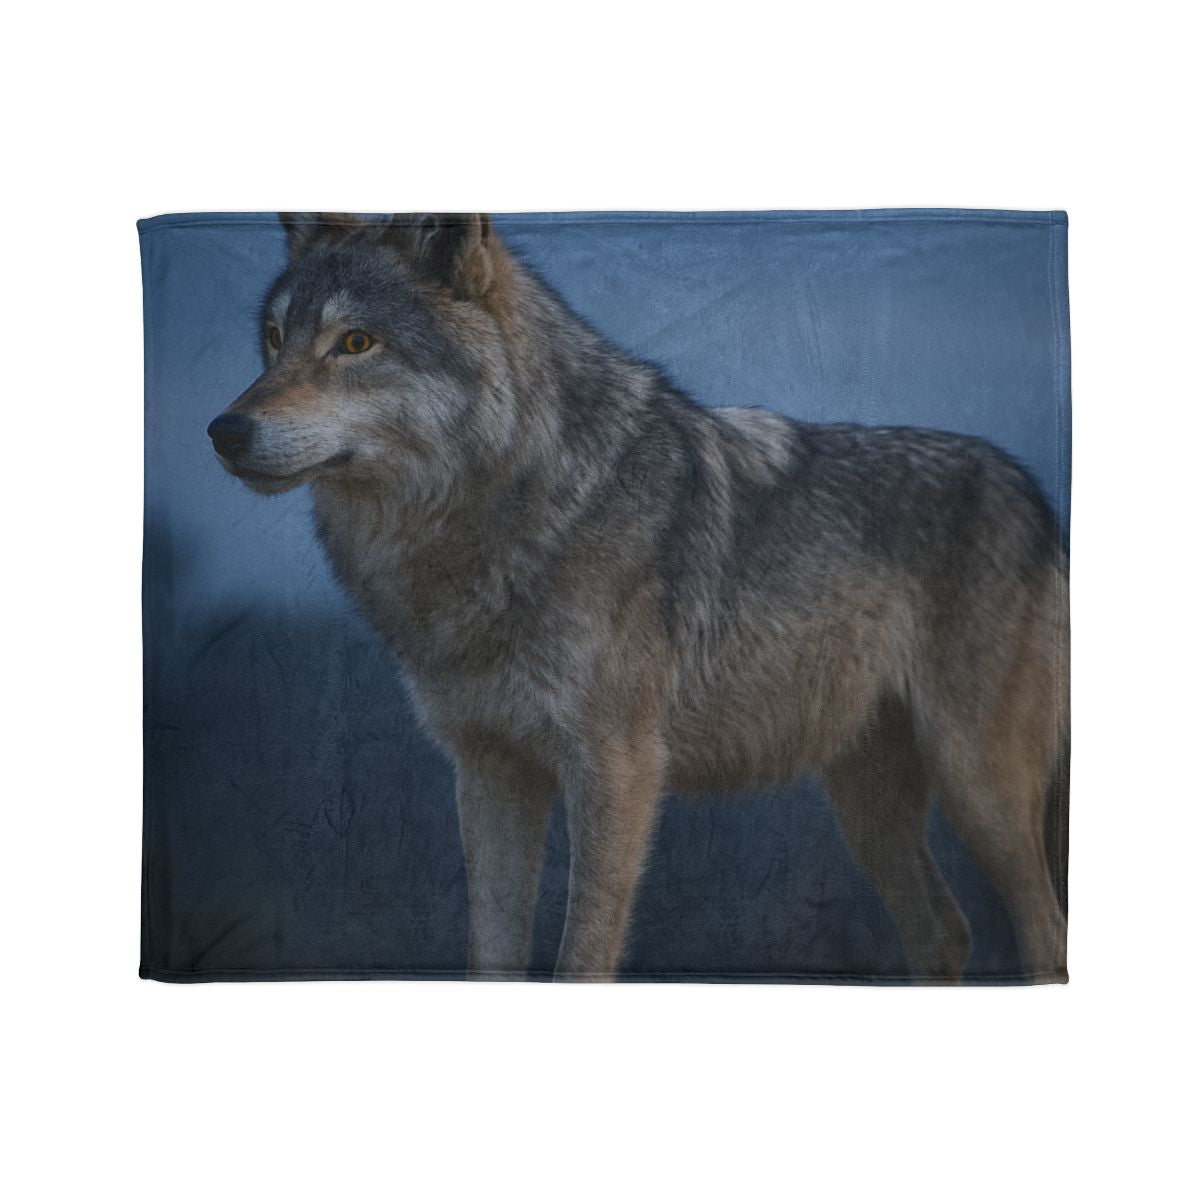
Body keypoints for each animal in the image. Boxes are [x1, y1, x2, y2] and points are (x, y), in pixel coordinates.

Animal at [207, 212, 1069, 983]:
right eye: (275, 339)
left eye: (356, 343)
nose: (223, 430)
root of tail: (1033, 494)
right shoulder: (491, 771)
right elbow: (491, 956)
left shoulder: (615, 770)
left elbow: (580, 960)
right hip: (867, 806)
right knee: (947, 932)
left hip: (979, 788)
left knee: (1043, 931)